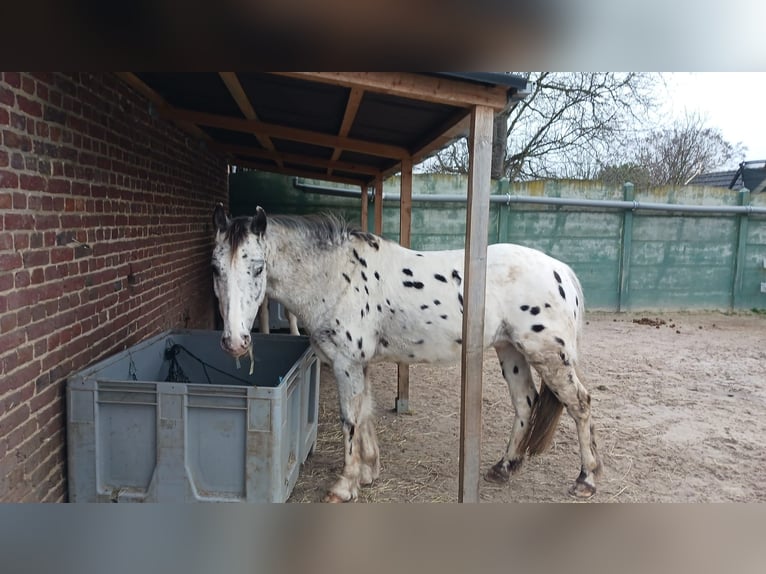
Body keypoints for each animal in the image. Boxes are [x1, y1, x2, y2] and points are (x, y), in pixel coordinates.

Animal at [213, 205, 604, 502]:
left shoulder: (346, 363)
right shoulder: (358, 364)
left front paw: (344, 486)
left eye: (257, 267)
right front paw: (369, 471)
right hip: (510, 350)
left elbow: (349, 419)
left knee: (580, 404)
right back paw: (503, 468)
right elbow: (365, 413)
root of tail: (561, 271)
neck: (338, 276)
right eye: (216, 269)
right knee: (525, 403)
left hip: (548, 355)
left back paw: (586, 479)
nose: (235, 342)